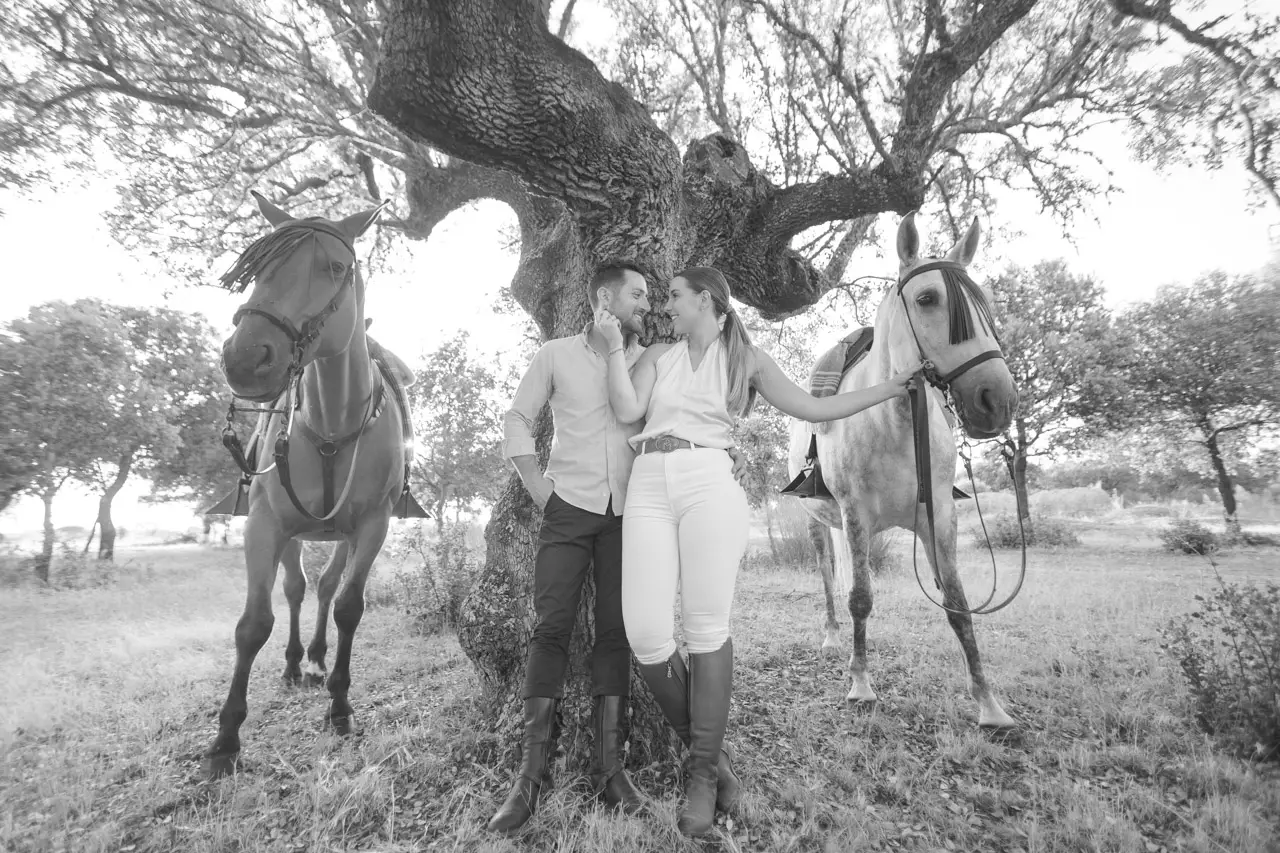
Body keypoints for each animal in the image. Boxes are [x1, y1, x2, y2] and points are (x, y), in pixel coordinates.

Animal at [205, 192, 424, 777]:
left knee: (325, 589)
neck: (331, 425)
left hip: (342, 535)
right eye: (257, 267)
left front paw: (341, 705)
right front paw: (226, 738)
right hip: (294, 533)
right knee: (297, 589)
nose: (245, 357)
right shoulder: (265, 523)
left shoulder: (372, 526)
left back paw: (319, 658)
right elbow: (253, 623)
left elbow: (349, 606)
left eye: (335, 268)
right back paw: (292, 662)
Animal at [786, 212, 1019, 730]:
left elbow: (957, 604)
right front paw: (860, 685)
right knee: (828, 573)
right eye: (927, 298)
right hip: (818, 522)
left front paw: (989, 704)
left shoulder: (939, 519)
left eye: (986, 303)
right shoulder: (853, 513)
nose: (996, 401)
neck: (895, 422)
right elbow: (859, 598)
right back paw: (832, 637)